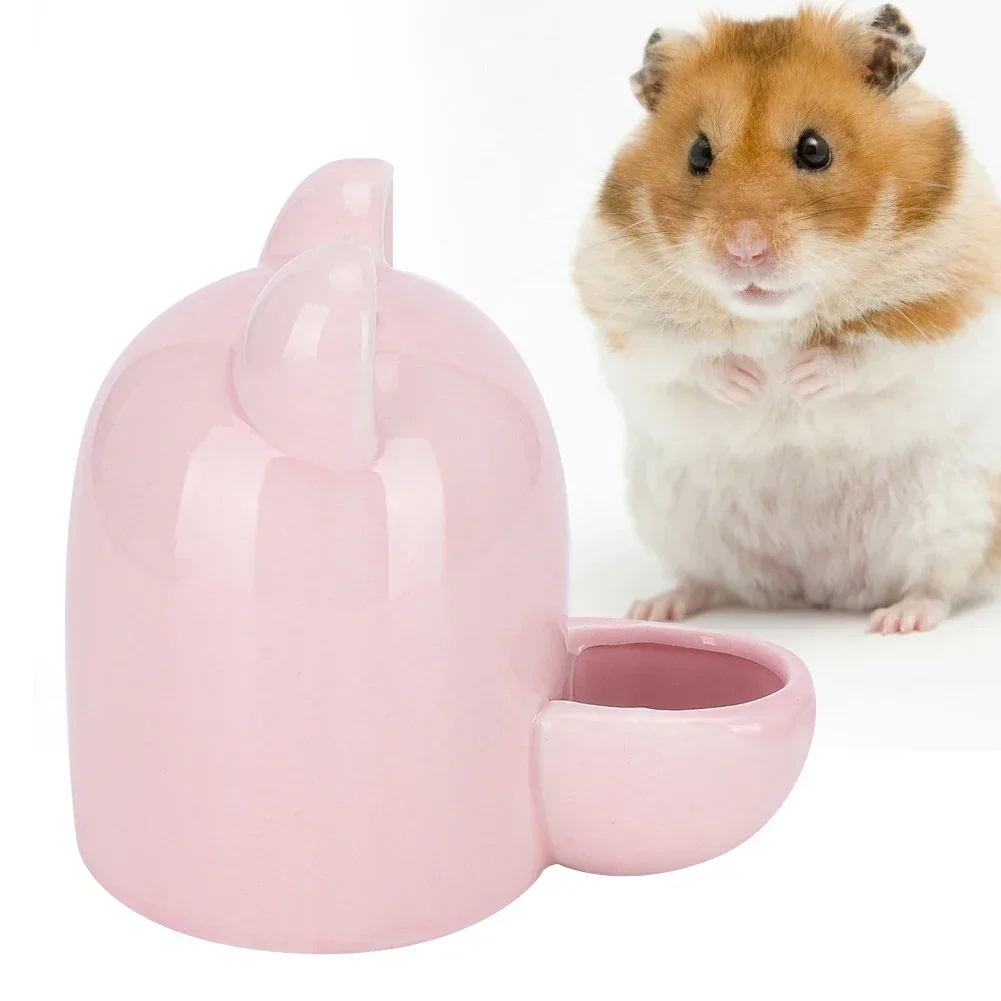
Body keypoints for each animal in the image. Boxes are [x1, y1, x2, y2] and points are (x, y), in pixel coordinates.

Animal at [573, 5, 1001, 634]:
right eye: (698, 153)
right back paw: (658, 610)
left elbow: (872, 352)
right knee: (710, 578)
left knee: (939, 583)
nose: (744, 250)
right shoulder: (624, 313)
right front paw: (752, 383)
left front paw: (798, 379)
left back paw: (898, 620)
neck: (773, 317)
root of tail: (818, 588)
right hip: (678, 524)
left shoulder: (952, 309)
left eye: (815, 149)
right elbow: (683, 354)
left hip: (958, 514)